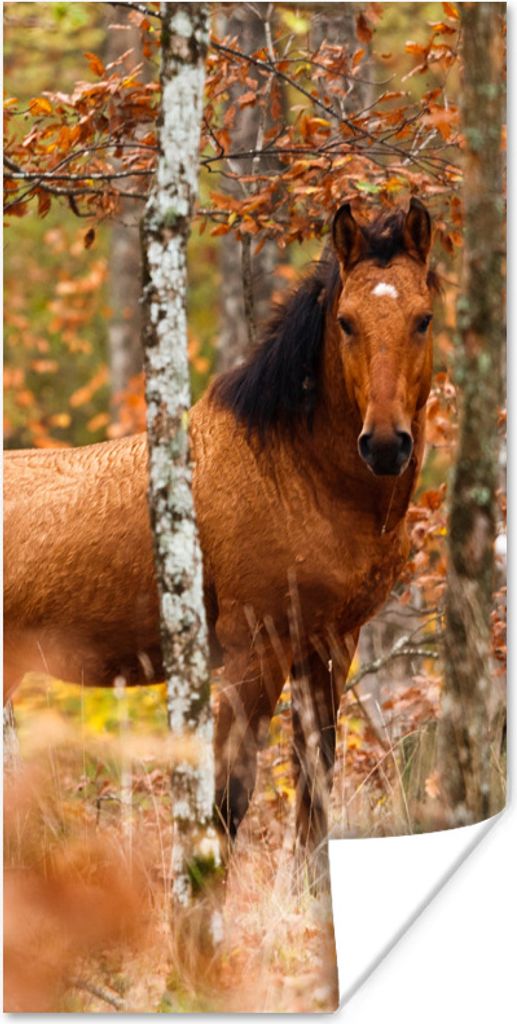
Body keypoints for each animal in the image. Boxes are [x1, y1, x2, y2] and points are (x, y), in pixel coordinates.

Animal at [4, 198, 436, 863]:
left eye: (423, 319)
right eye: (346, 322)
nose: (386, 444)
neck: (296, 475)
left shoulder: (329, 644)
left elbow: (314, 792)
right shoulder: (253, 650)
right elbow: (227, 803)